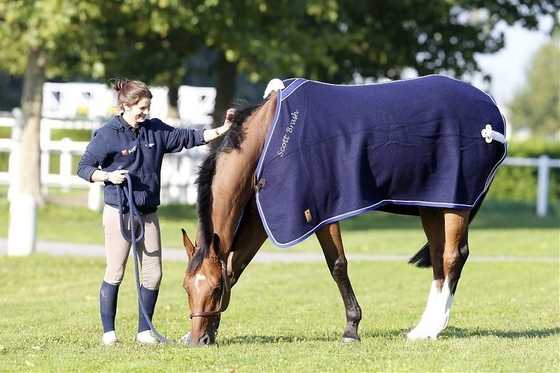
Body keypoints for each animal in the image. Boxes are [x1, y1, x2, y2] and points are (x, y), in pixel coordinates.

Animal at [180, 75, 508, 346]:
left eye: (216, 290)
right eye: (186, 288)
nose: (198, 340)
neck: (269, 137)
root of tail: (493, 108)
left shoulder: (318, 211)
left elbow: (337, 265)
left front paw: (351, 329)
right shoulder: (263, 217)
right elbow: (235, 267)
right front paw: (208, 330)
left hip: (456, 203)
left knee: (453, 257)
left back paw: (433, 329)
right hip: (433, 204)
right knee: (439, 260)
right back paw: (423, 328)